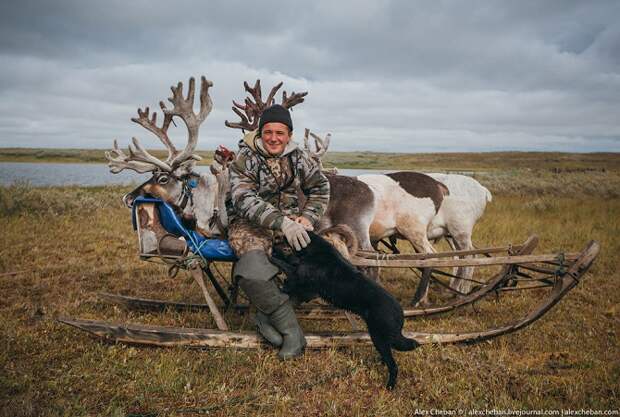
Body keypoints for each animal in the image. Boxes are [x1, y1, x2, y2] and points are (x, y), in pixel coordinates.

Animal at [270, 229, 418, 388]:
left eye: (286, 237)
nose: (276, 236)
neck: (316, 249)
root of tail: (400, 313)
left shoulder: (298, 275)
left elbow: (285, 268)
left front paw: (273, 259)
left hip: (379, 338)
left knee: (393, 365)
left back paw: (389, 385)